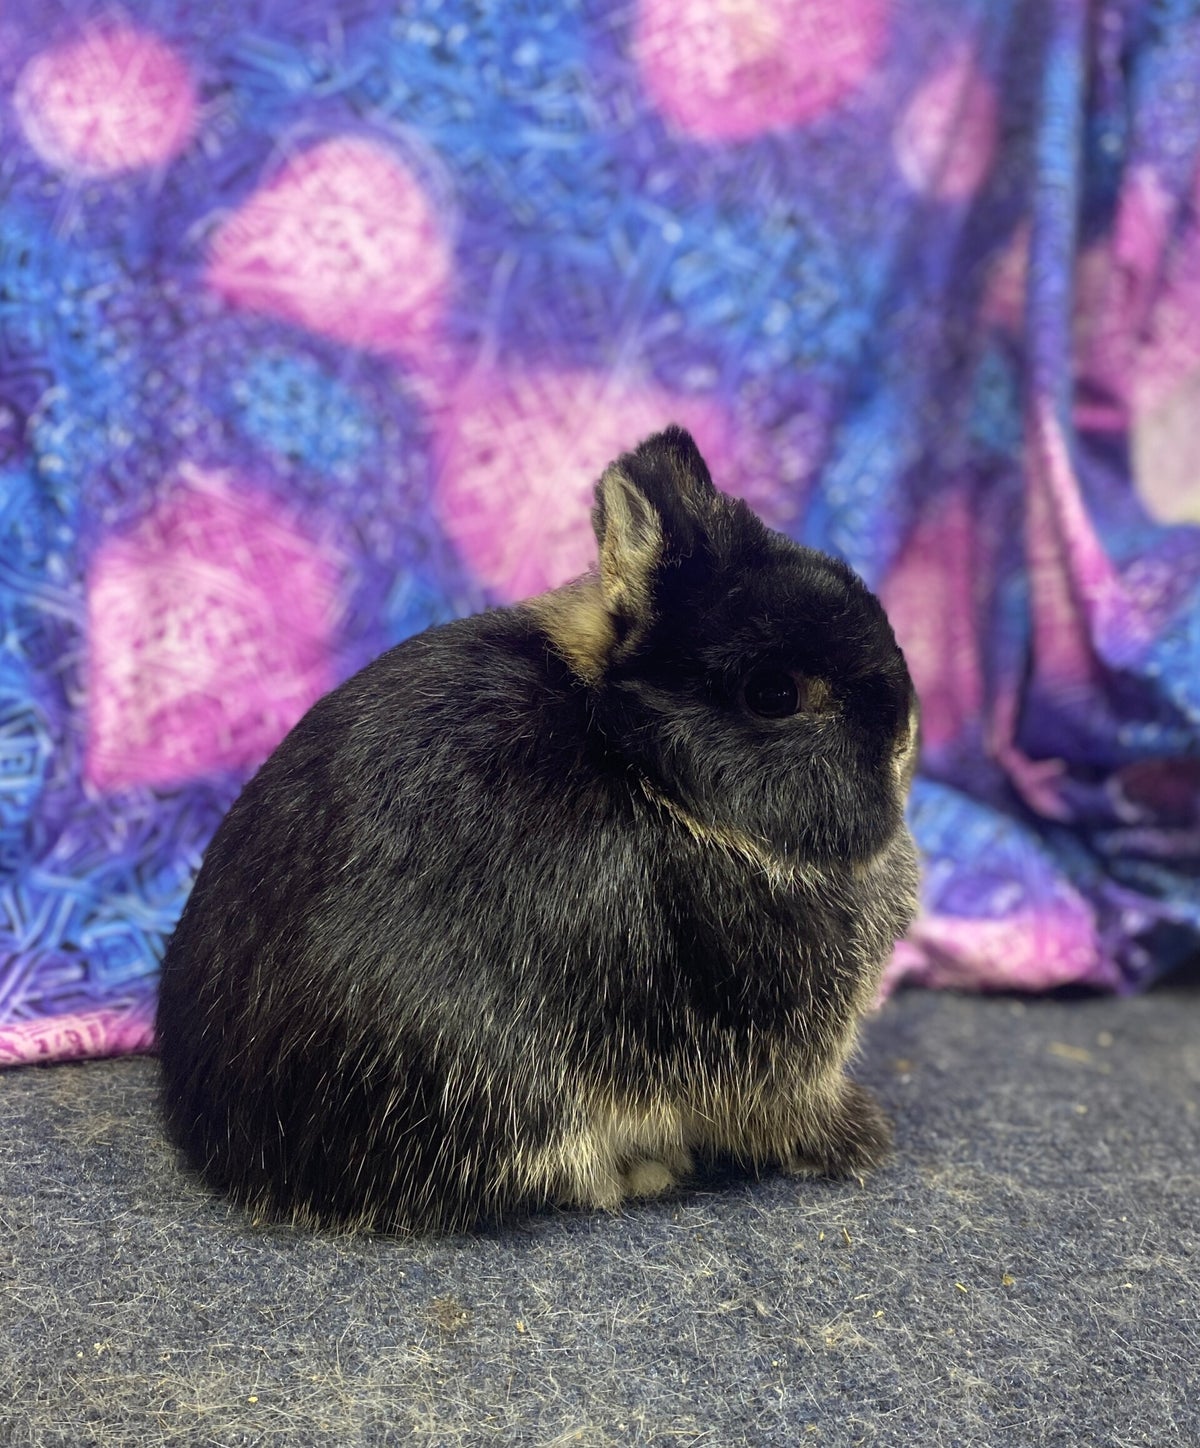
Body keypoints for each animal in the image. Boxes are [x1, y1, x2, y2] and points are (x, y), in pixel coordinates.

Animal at [155, 424, 921, 1234]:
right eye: (773, 694)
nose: (907, 734)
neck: (646, 772)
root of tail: (239, 1157)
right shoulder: (761, 1049)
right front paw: (860, 1140)